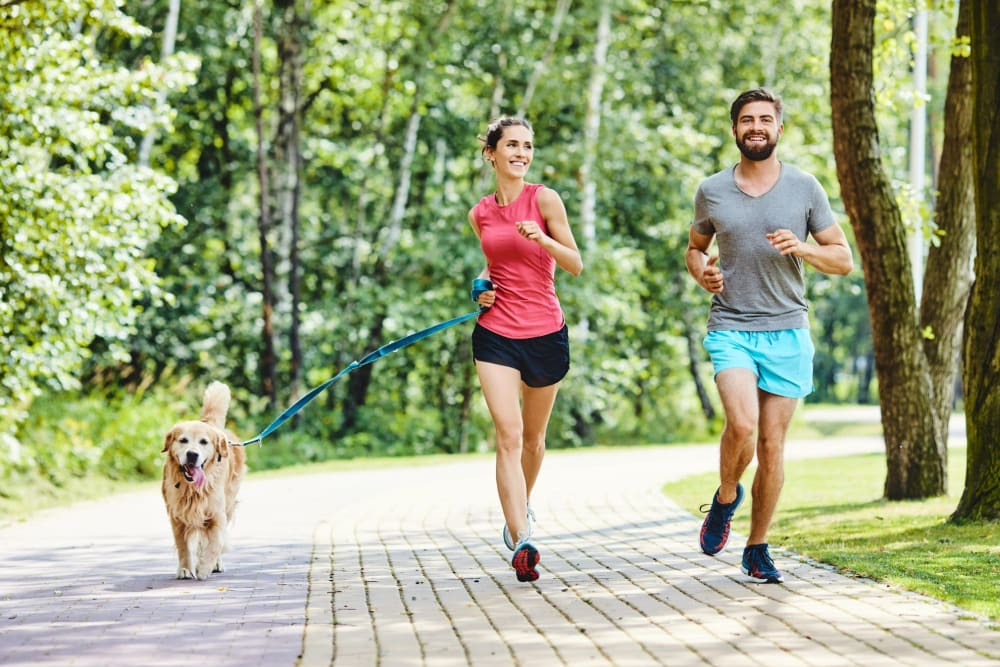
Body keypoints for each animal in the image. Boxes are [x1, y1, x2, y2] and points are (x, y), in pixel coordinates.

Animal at [161, 380, 247, 580]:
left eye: (204, 442)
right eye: (183, 440)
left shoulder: (217, 514)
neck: (192, 489)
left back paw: (215, 563)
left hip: (228, 505)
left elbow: (215, 543)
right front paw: (185, 568)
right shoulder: (177, 516)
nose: (192, 455)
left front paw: (205, 567)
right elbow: (183, 546)